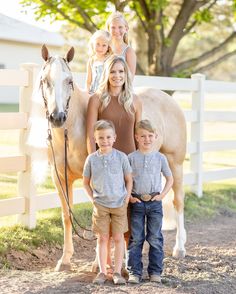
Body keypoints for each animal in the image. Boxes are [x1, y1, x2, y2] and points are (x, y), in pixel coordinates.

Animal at [27, 45, 186, 272]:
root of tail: (169, 98)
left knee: (178, 201)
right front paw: (65, 260)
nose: (57, 117)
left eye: (69, 81)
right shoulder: (60, 178)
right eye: (44, 80)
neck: (73, 130)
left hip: (175, 163)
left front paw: (97, 264)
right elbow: (67, 216)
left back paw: (179, 248)